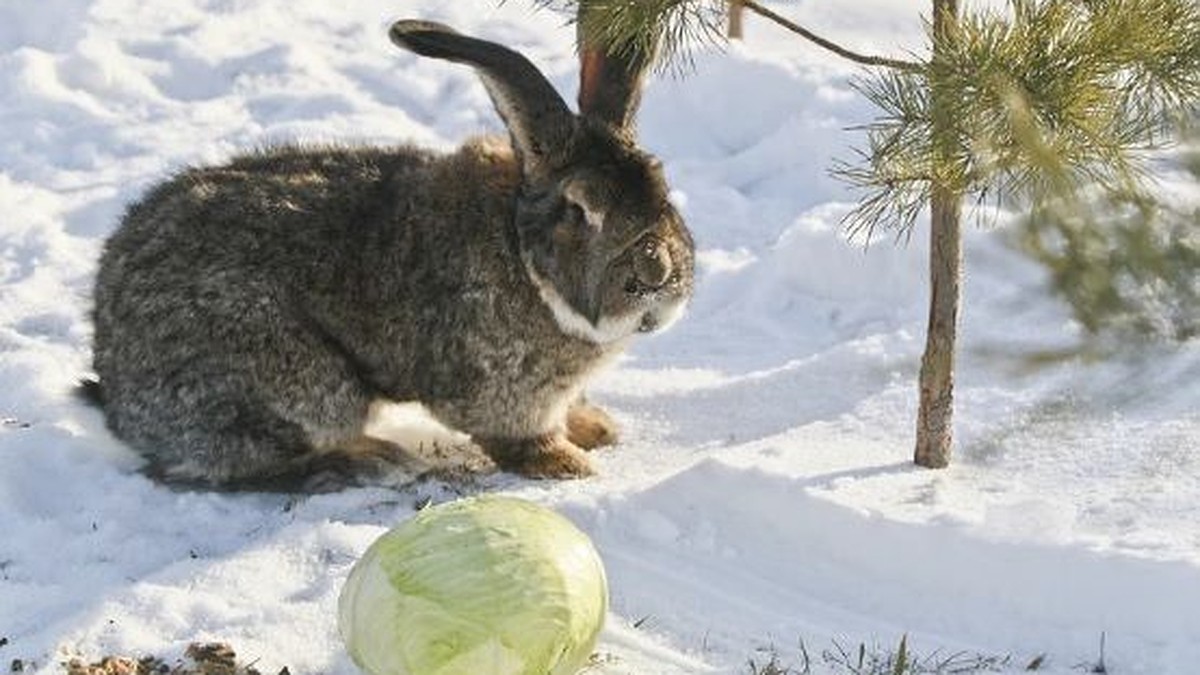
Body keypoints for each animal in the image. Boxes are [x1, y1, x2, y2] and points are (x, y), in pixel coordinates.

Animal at [87, 17, 696, 487]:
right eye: (578, 209)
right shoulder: (503, 391)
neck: (521, 253)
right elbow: (516, 435)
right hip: (300, 380)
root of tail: (114, 384)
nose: (657, 272)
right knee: (235, 463)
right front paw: (568, 464)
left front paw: (596, 429)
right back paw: (370, 460)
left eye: (663, 188)